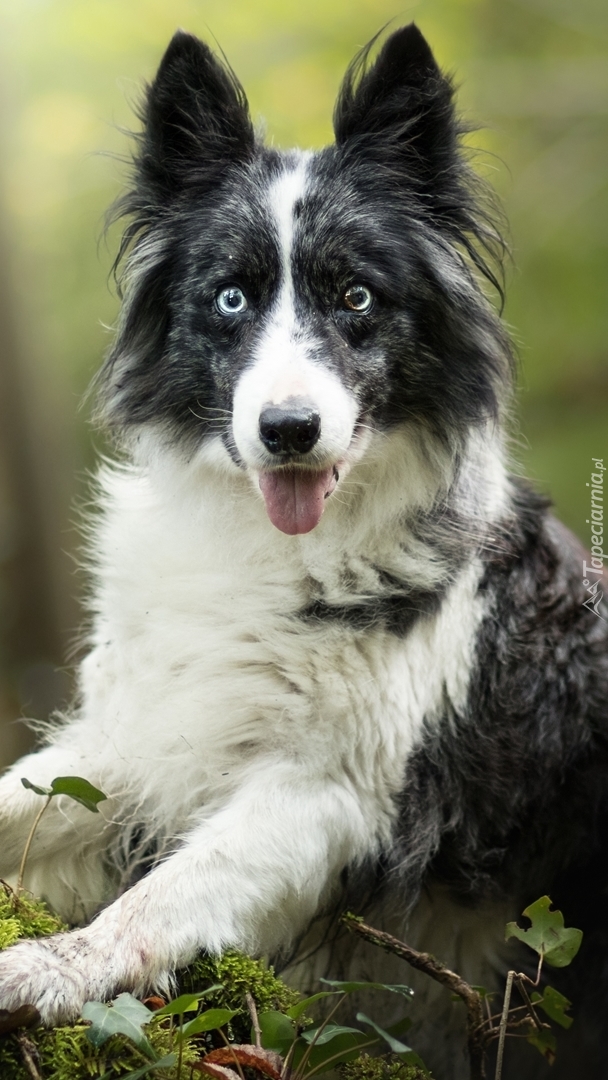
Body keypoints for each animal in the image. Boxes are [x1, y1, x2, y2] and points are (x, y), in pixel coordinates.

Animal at [1, 25, 608, 1080]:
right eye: (230, 299)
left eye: (356, 296)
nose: (288, 431)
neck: (275, 545)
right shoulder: (148, 735)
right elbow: (20, 799)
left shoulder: (333, 794)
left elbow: (161, 895)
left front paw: (51, 967)